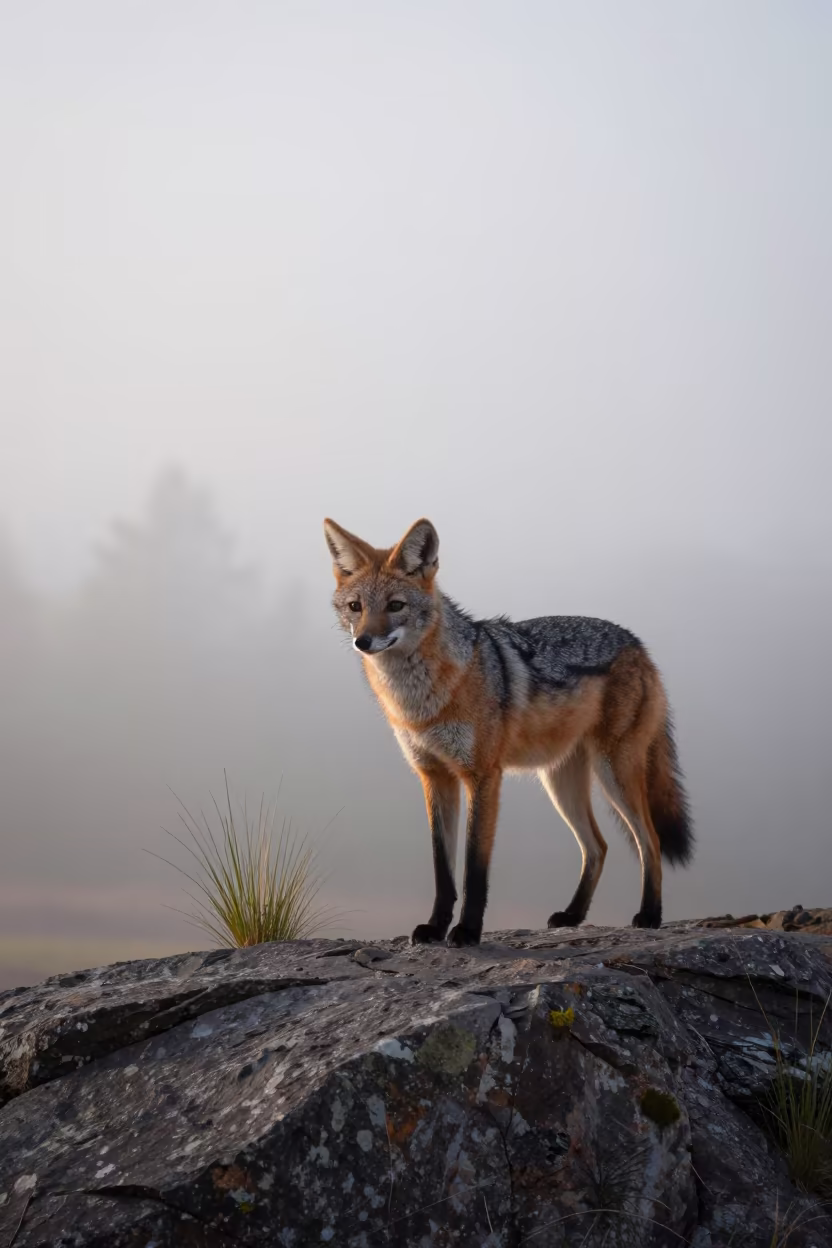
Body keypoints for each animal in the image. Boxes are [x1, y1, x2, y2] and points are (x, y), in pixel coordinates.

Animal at [324, 517, 693, 947]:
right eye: (356, 607)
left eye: (396, 606)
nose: (363, 641)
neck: (423, 702)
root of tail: (637, 643)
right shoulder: (434, 777)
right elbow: (442, 869)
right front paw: (435, 927)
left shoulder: (483, 776)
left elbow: (474, 869)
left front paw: (467, 931)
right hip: (561, 784)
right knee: (598, 846)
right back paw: (572, 915)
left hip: (613, 774)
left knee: (649, 842)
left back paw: (650, 915)